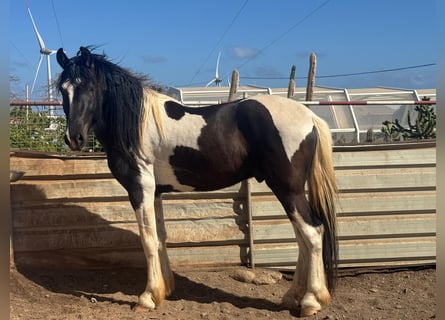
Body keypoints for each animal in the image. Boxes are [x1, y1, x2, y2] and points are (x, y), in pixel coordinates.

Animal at [57, 46, 338, 316]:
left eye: (90, 87)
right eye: (63, 89)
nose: (74, 138)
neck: (136, 124)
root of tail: (310, 117)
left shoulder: (140, 188)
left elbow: (147, 239)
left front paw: (147, 298)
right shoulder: (155, 191)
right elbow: (160, 238)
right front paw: (164, 290)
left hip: (288, 189)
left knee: (312, 232)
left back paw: (311, 302)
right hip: (290, 191)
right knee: (303, 238)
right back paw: (292, 297)